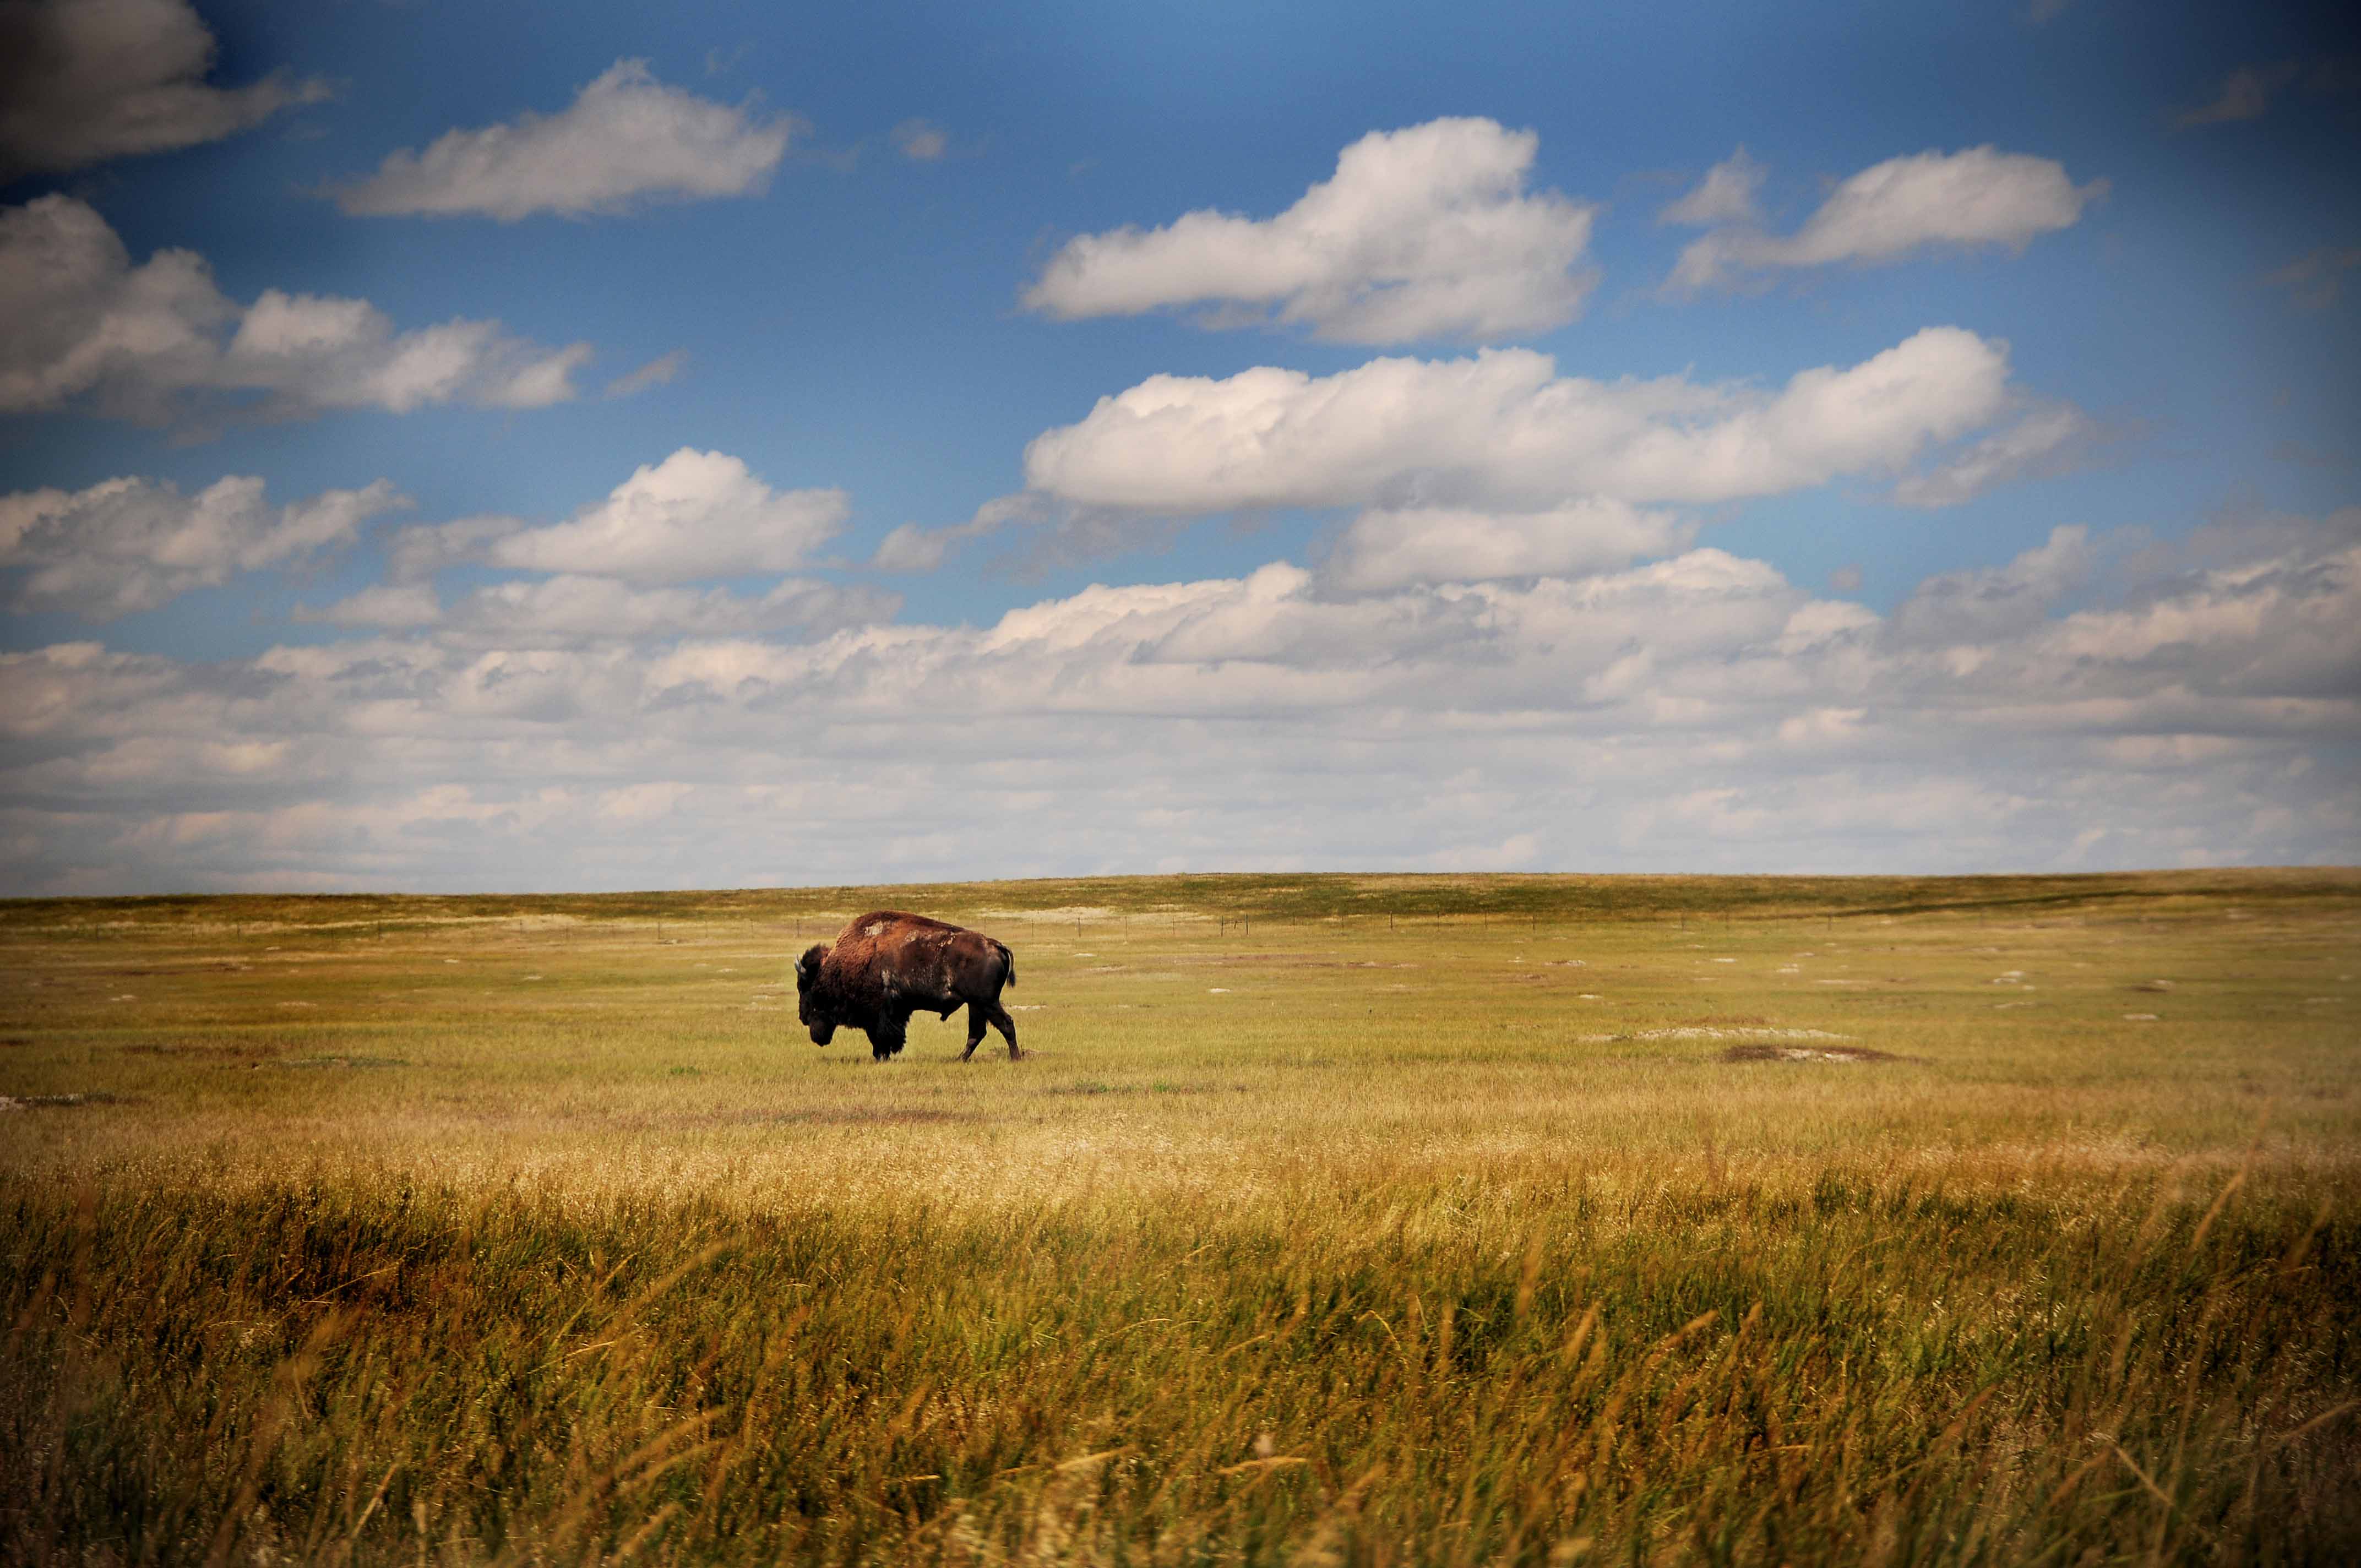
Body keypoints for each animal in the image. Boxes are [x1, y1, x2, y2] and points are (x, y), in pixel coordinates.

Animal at [793, 911, 1015, 1058]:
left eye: (806, 987)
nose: (802, 1017)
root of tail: (995, 945)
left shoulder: (880, 1013)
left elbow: (881, 1037)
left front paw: (881, 1056)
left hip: (986, 1002)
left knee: (1006, 1024)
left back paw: (1015, 1058)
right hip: (976, 1004)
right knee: (978, 1032)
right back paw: (960, 1059)